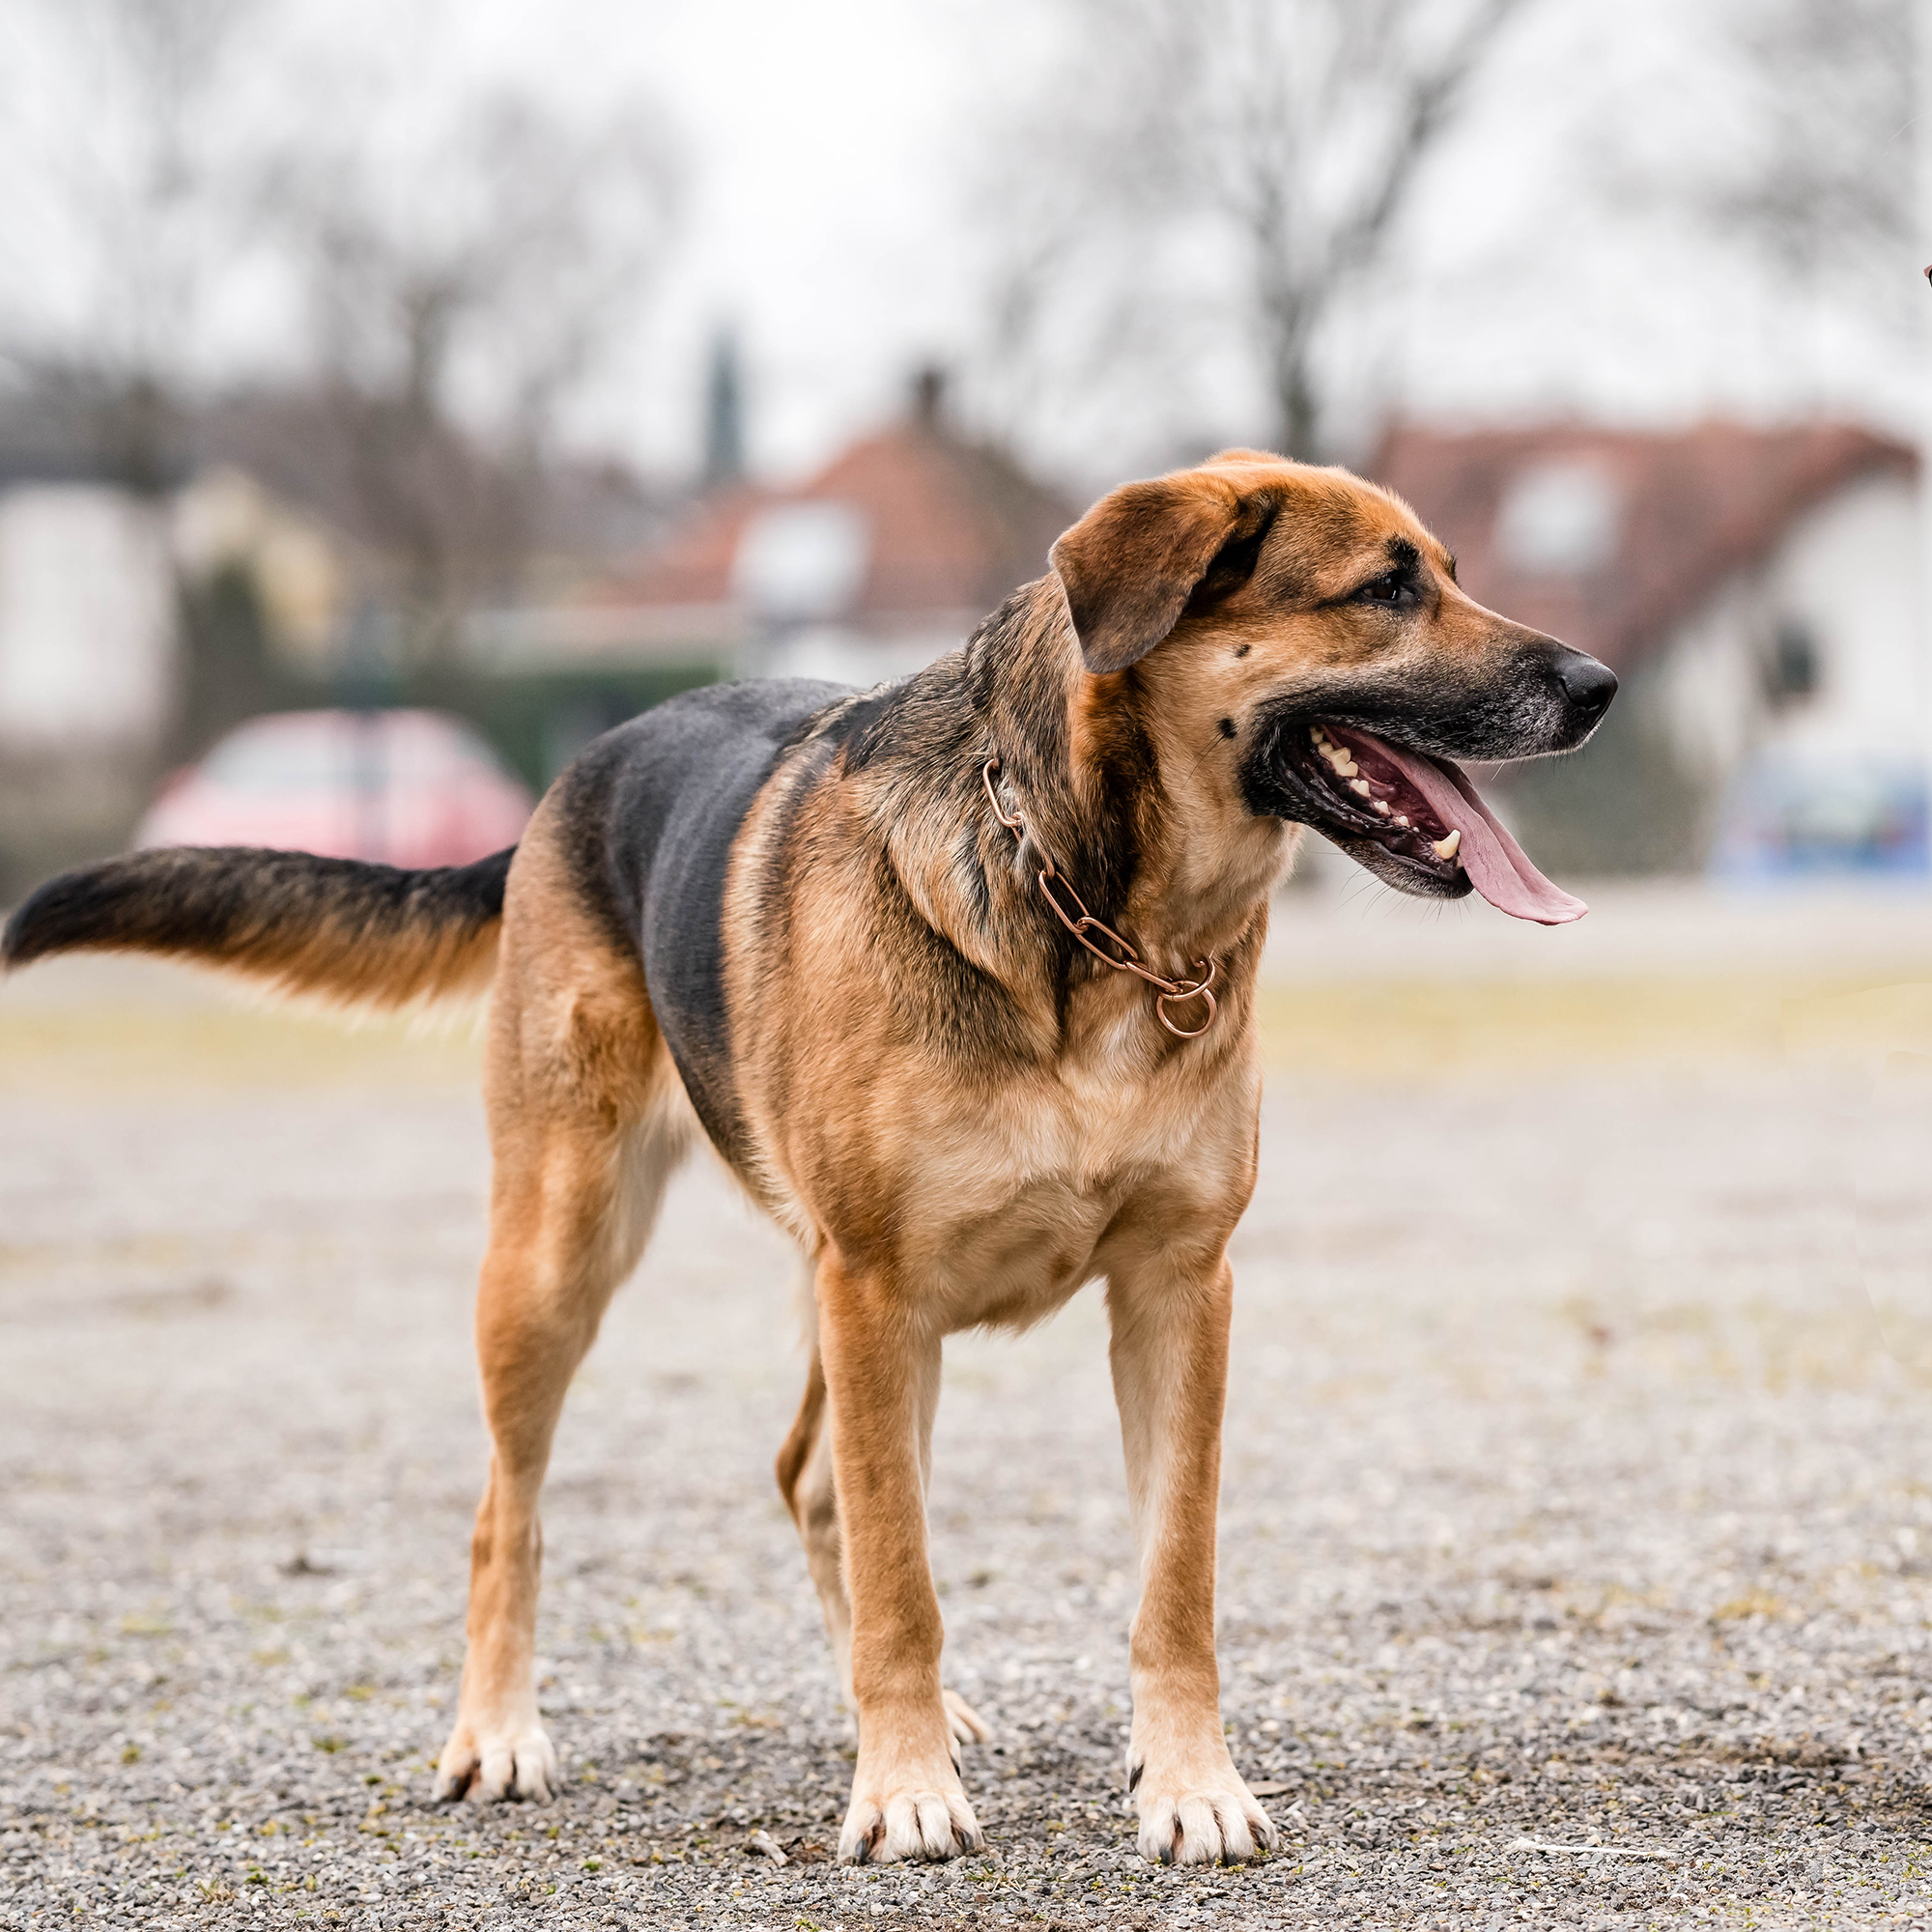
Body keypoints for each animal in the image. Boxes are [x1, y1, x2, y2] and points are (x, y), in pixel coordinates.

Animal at [3, 444, 1615, 1862]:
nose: (1598, 688)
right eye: (1385, 587)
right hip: (570, 1262)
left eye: (1449, 570)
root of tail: (573, 775)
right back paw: (503, 1734)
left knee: (807, 1476)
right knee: (513, 1513)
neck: (1096, 921)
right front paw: (901, 1797)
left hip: (856, 1312)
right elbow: (906, 1577)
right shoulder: (883, 1288)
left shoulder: (1175, 1293)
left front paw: (1186, 1786)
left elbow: (1175, 1580)